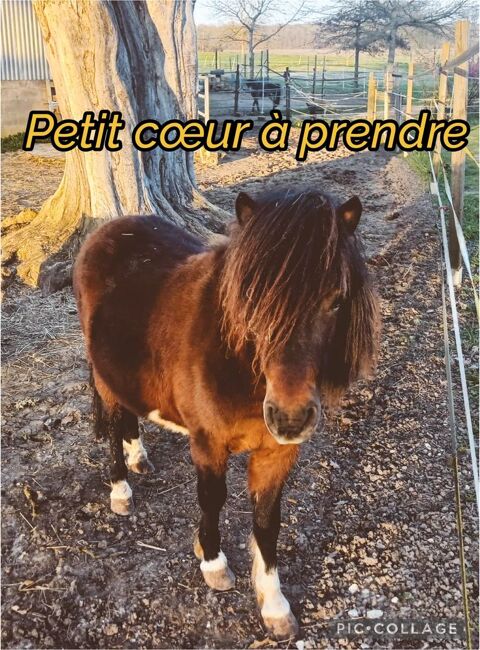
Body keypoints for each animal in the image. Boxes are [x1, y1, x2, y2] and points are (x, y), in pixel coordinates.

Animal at [73, 188, 380, 640]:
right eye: (252, 298)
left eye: (336, 301)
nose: (290, 417)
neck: (241, 367)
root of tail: (107, 230)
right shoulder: (208, 444)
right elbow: (212, 499)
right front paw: (212, 561)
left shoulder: (276, 454)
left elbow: (267, 523)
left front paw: (274, 605)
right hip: (104, 378)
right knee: (112, 425)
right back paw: (121, 490)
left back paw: (138, 456)